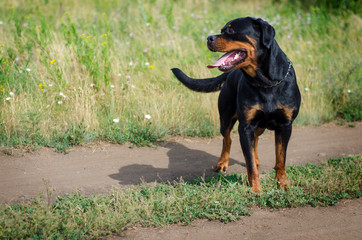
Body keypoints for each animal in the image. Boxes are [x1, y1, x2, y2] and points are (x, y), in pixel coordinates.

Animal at [171, 16, 302, 192]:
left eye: (231, 30)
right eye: (222, 29)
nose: (209, 38)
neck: (265, 83)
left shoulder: (285, 125)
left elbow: (280, 159)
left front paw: (283, 184)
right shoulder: (245, 126)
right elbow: (249, 164)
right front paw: (255, 189)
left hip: (258, 125)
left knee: (255, 139)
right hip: (225, 117)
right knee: (227, 139)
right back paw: (222, 163)